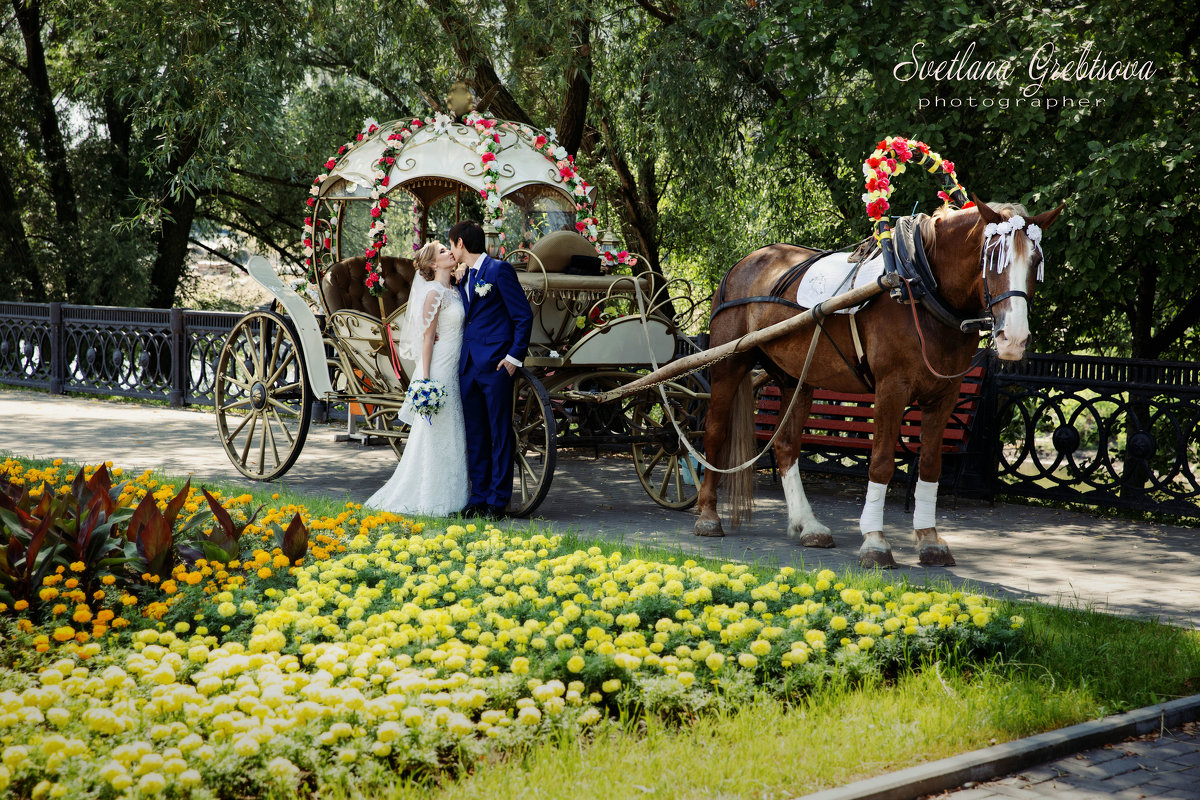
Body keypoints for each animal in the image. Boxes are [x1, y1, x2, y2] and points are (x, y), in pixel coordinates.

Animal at [700, 201, 1065, 568]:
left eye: (1036, 262)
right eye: (992, 258)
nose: (1013, 339)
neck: (918, 285)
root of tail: (744, 263)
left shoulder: (945, 395)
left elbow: (930, 464)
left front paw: (929, 538)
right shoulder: (891, 388)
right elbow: (881, 462)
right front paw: (875, 540)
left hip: (797, 378)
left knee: (786, 445)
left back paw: (807, 524)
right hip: (729, 365)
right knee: (715, 433)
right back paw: (708, 516)